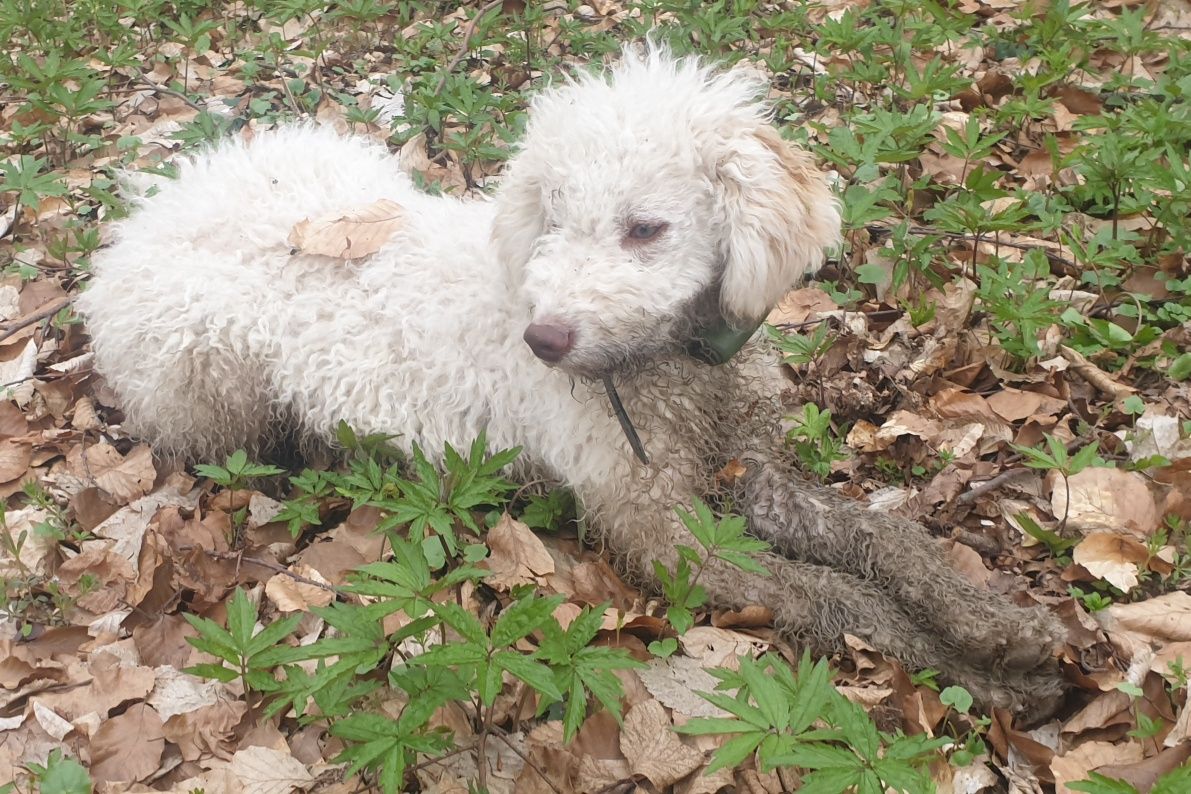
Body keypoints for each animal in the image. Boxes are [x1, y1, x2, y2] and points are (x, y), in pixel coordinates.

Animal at [79, 49, 1067, 709]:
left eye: (645, 228)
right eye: (551, 218)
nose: (542, 339)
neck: (676, 370)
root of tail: (153, 213)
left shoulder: (751, 469)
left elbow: (878, 538)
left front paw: (993, 624)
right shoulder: (662, 531)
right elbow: (834, 596)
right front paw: (984, 677)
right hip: (212, 369)